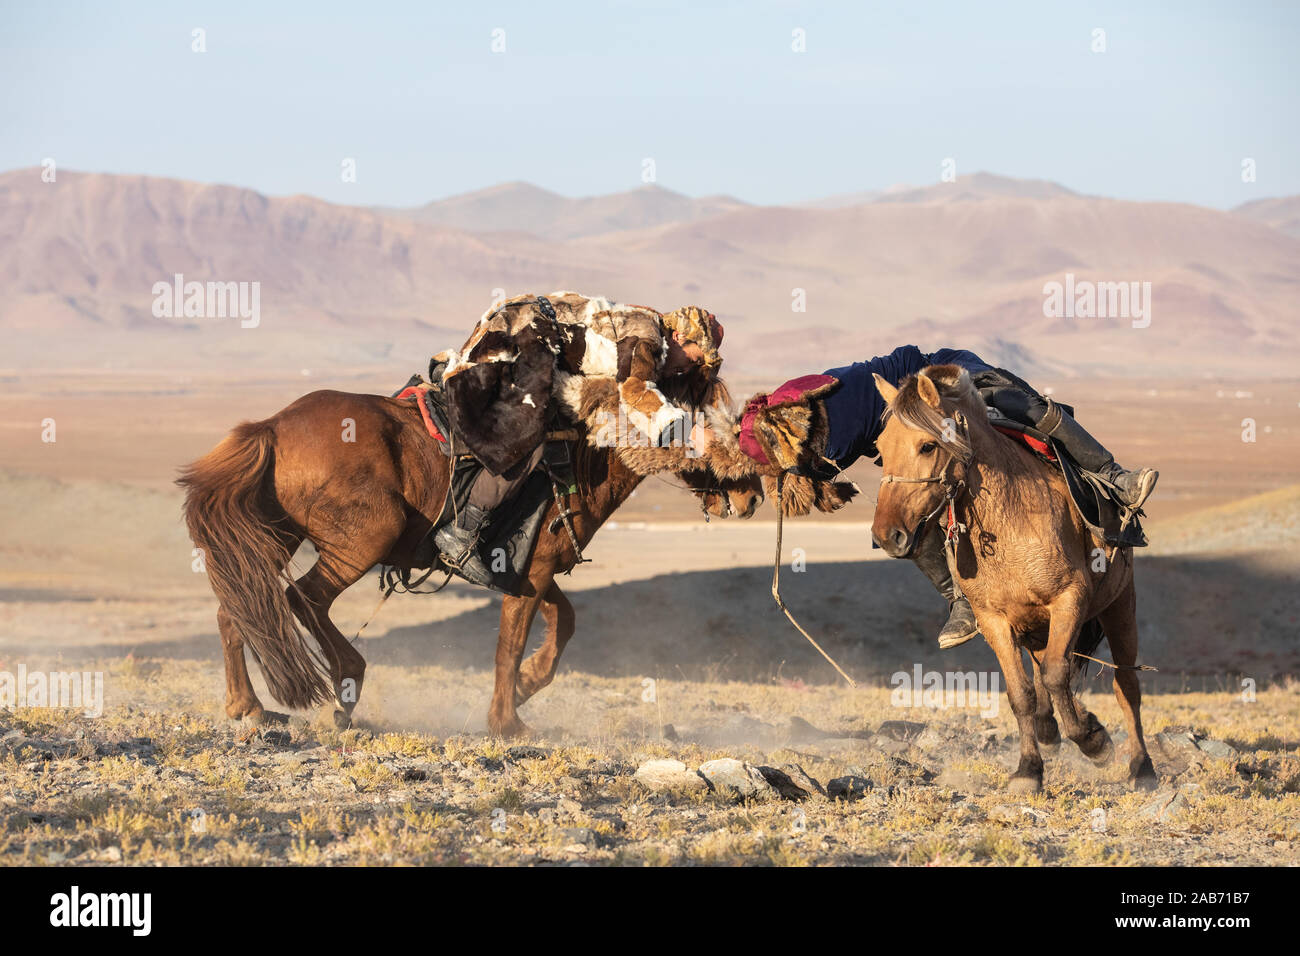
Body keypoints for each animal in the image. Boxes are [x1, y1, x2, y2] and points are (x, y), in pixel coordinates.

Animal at [177, 373, 763, 738]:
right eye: (714, 426)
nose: (751, 497)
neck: (576, 458)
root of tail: (272, 427)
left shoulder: (532, 570)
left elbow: (564, 623)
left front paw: (526, 688)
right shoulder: (530, 574)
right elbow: (509, 645)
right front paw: (508, 724)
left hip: (273, 538)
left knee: (240, 608)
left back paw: (248, 707)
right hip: (363, 540)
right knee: (303, 601)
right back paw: (344, 687)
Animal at [869, 364, 1158, 793]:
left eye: (927, 446)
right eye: (880, 448)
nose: (887, 534)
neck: (1010, 516)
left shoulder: (1069, 599)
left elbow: (1057, 676)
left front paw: (1093, 741)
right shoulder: (994, 620)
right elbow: (1022, 693)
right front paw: (1028, 770)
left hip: (1120, 607)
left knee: (1125, 687)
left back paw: (1142, 768)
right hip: (1036, 627)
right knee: (1043, 676)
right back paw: (1050, 730)